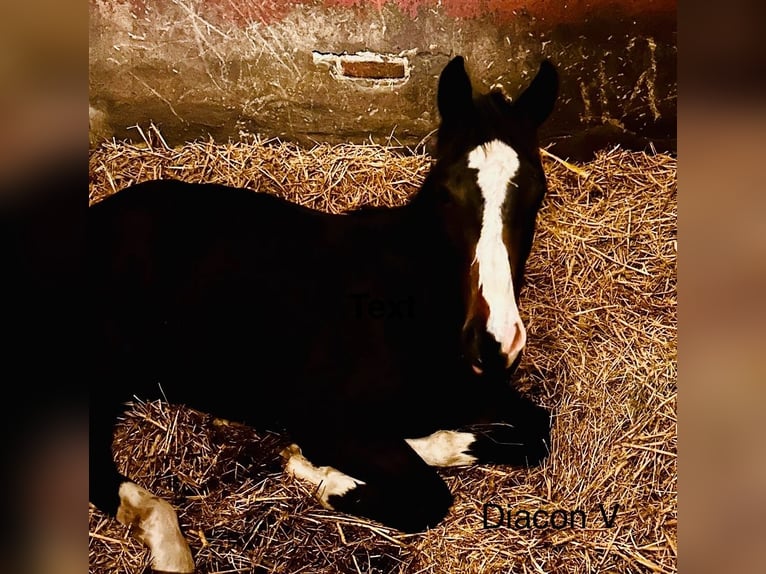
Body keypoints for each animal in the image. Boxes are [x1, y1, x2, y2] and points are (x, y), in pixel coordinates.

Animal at [89, 55, 558, 572]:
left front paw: (430, 442)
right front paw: (316, 469)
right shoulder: (324, 414)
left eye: (537, 191)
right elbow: (426, 497)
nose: (495, 342)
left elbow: (536, 432)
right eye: (447, 191)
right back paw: (170, 546)